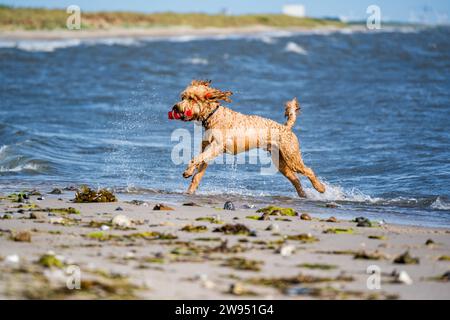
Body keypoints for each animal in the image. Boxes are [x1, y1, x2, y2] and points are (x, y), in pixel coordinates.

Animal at [168, 80, 324, 198]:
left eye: (191, 98)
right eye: (183, 97)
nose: (175, 107)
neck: (214, 116)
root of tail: (286, 127)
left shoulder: (215, 147)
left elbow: (196, 159)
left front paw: (188, 171)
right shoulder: (207, 149)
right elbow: (198, 171)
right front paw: (190, 187)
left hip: (292, 158)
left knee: (308, 171)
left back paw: (320, 188)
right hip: (281, 162)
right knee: (295, 179)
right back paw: (303, 195)